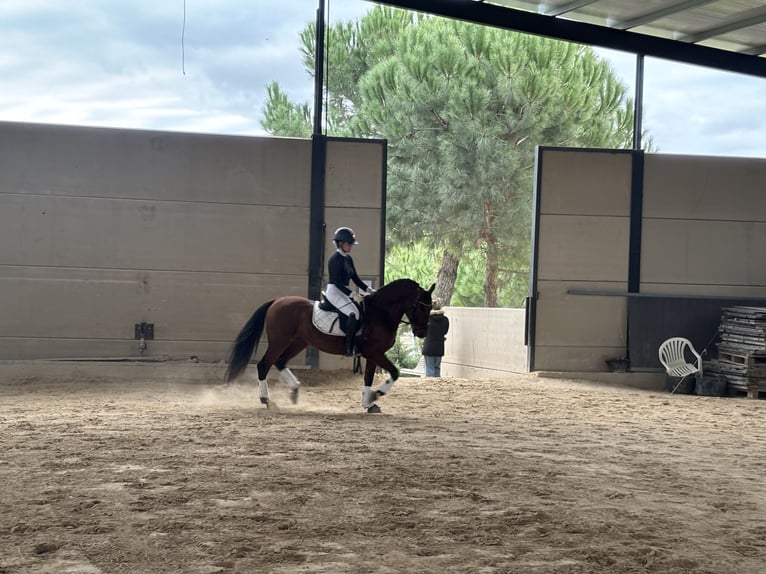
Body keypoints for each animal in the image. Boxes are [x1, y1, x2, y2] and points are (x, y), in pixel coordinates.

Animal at [224, 278, 435, 413]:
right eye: (420, 306)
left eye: (430, 307)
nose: (422, 333)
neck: (380, 313)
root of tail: (277, 301)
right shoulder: (375, 352)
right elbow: (394, 372)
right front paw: (377, 394)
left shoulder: (372, 355)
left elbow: (368, 378)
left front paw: (368, 404)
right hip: (279, 341)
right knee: (264, 365)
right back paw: (267, 400)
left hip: (300, 342)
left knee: (280, 362)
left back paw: (294, 390)